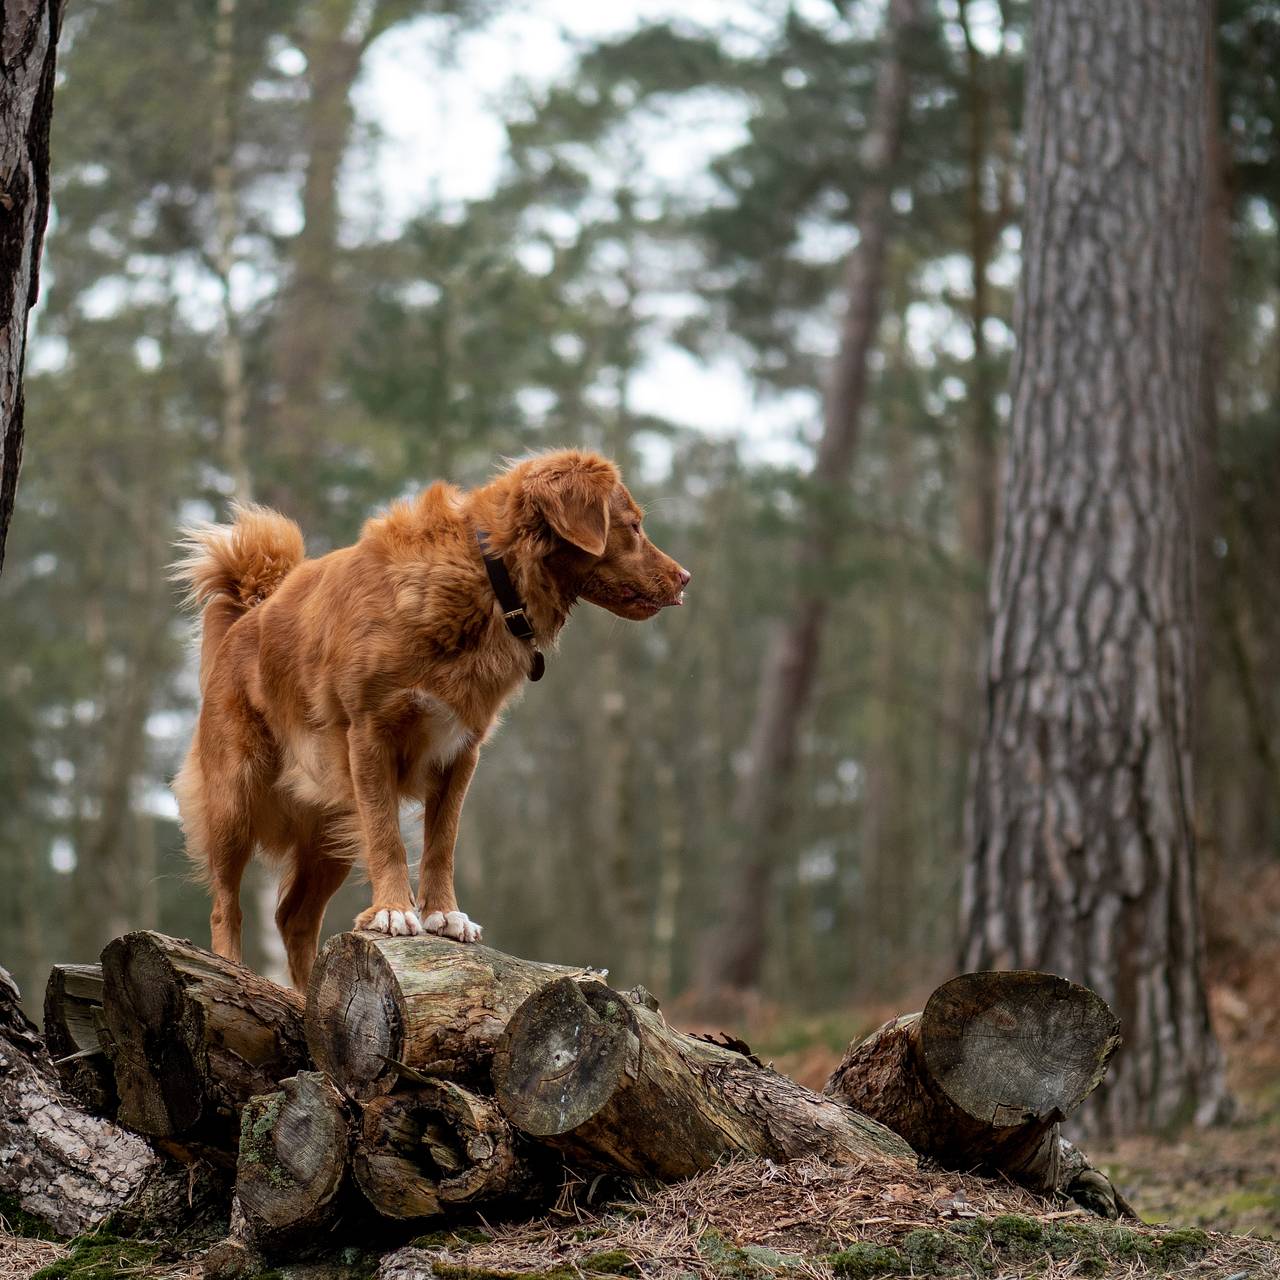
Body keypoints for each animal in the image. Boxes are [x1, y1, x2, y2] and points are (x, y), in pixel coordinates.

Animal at [174, 450, 691, 988]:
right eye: (633, 526)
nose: (686, 578)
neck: (489, 579)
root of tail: (247, 616)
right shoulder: (370, 736)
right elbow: (388, 837)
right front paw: (393, 911)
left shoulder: (460, 749)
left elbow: (442, 842)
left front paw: (443, 914)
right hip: (235, 799)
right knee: (226, 905)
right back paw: (228, 970)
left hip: (330, 829)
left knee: (294, 917)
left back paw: (303, 994)